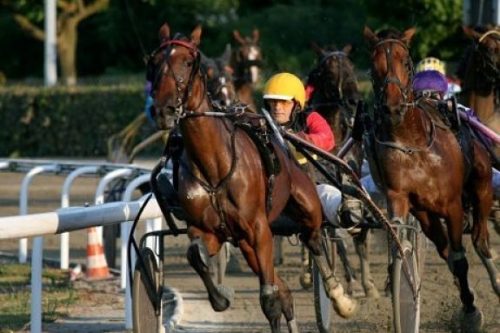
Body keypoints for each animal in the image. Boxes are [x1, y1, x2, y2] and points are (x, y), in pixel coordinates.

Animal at [148, 22, 356, 330]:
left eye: (187, 62)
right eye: (154, 63)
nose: (164, 110)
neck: (214, 166)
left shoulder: (258, 229)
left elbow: (269, 298)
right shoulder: (209, 230)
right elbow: (195, 254)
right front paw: (221, 296)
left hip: (306, 206)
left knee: (314, 238)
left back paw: (338, 295)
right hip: (247, 243)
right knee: (284, 288)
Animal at [304, 42, 378, 298]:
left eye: (351, 67)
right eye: (328, 73)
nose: (354, 100)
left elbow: (360, 233)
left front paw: (368, 284)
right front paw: (352, 279)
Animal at [364, 26, 500, 332]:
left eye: (405, 62)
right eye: (373, 66)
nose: (392, 107)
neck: (412, 144)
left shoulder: (453, 205)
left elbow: (461, 259)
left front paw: (471, 313)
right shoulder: (400, 198)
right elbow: (409, 248)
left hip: (482, 187)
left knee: (479, 240)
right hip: (427, 215)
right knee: (447, 249)